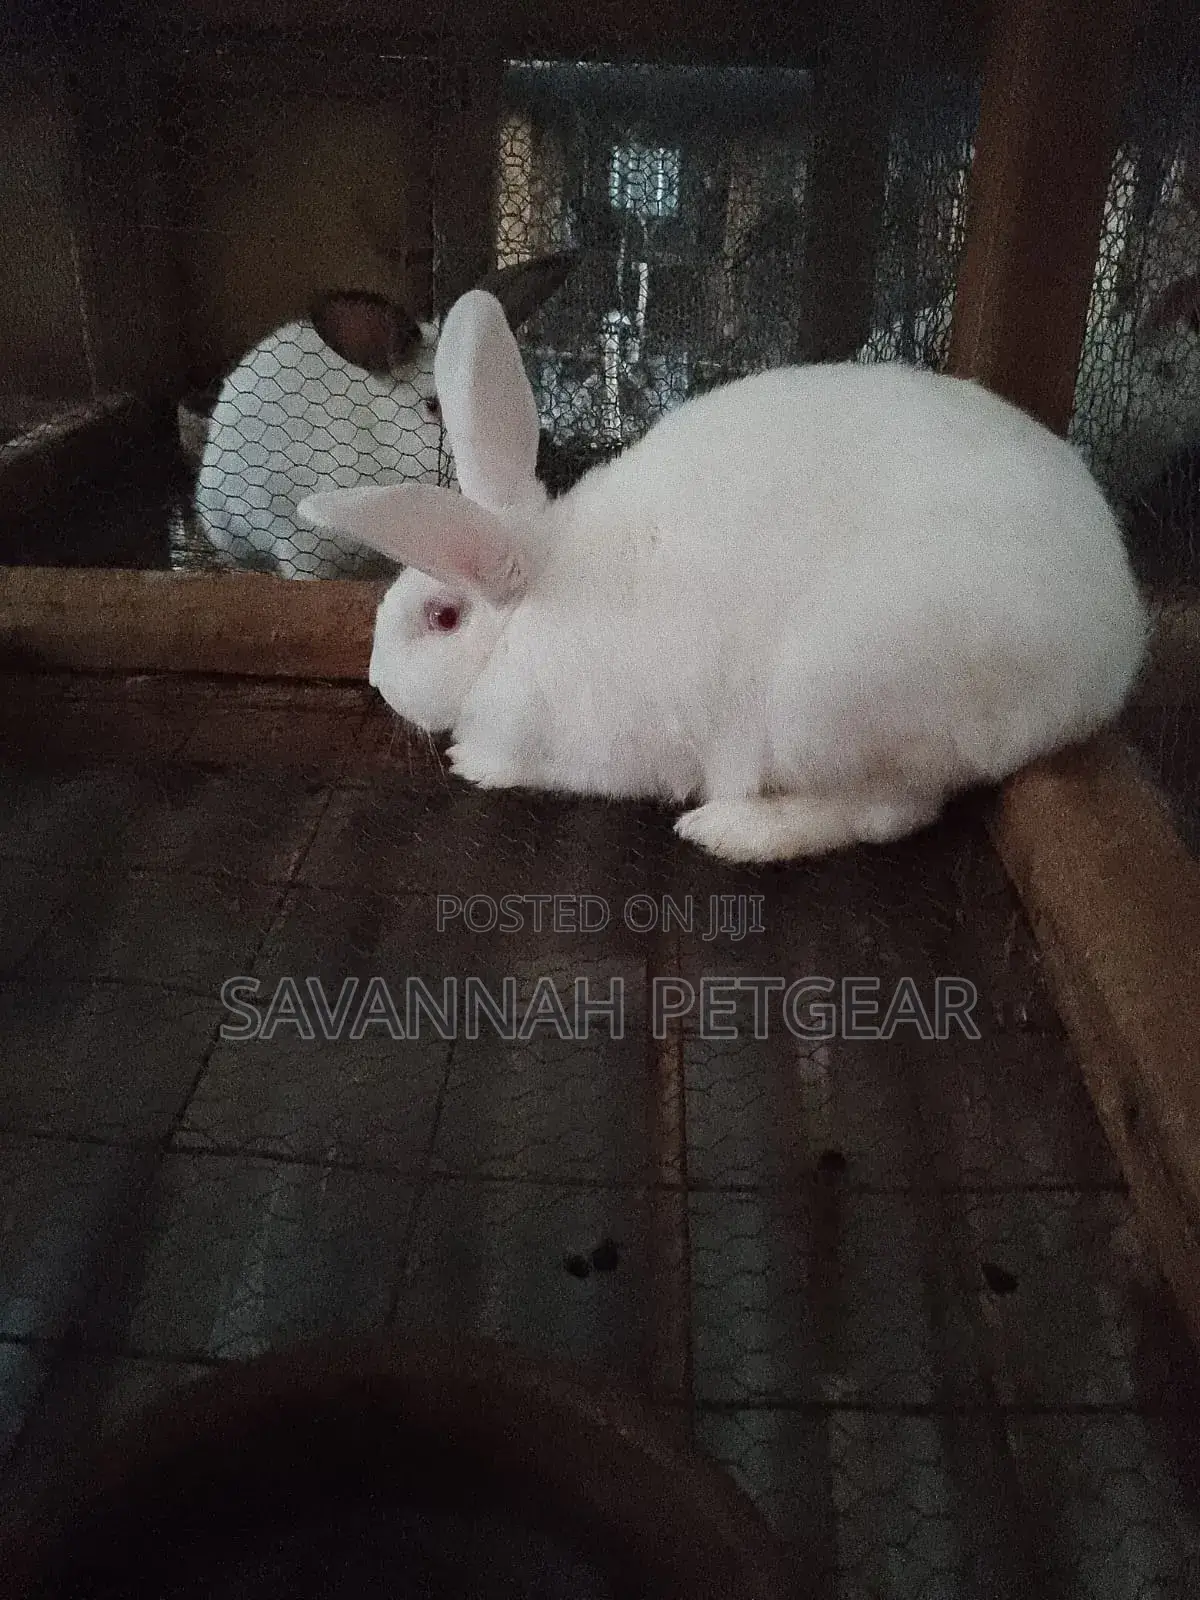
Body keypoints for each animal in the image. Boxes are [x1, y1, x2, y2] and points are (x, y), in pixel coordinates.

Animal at [296, 287, 1148, 864]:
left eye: (441, 618)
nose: (376, 682)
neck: (534, 602)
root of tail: (1110, 653)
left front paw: (473, 764)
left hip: (830, 699)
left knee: (889, 812)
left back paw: (732, 830)